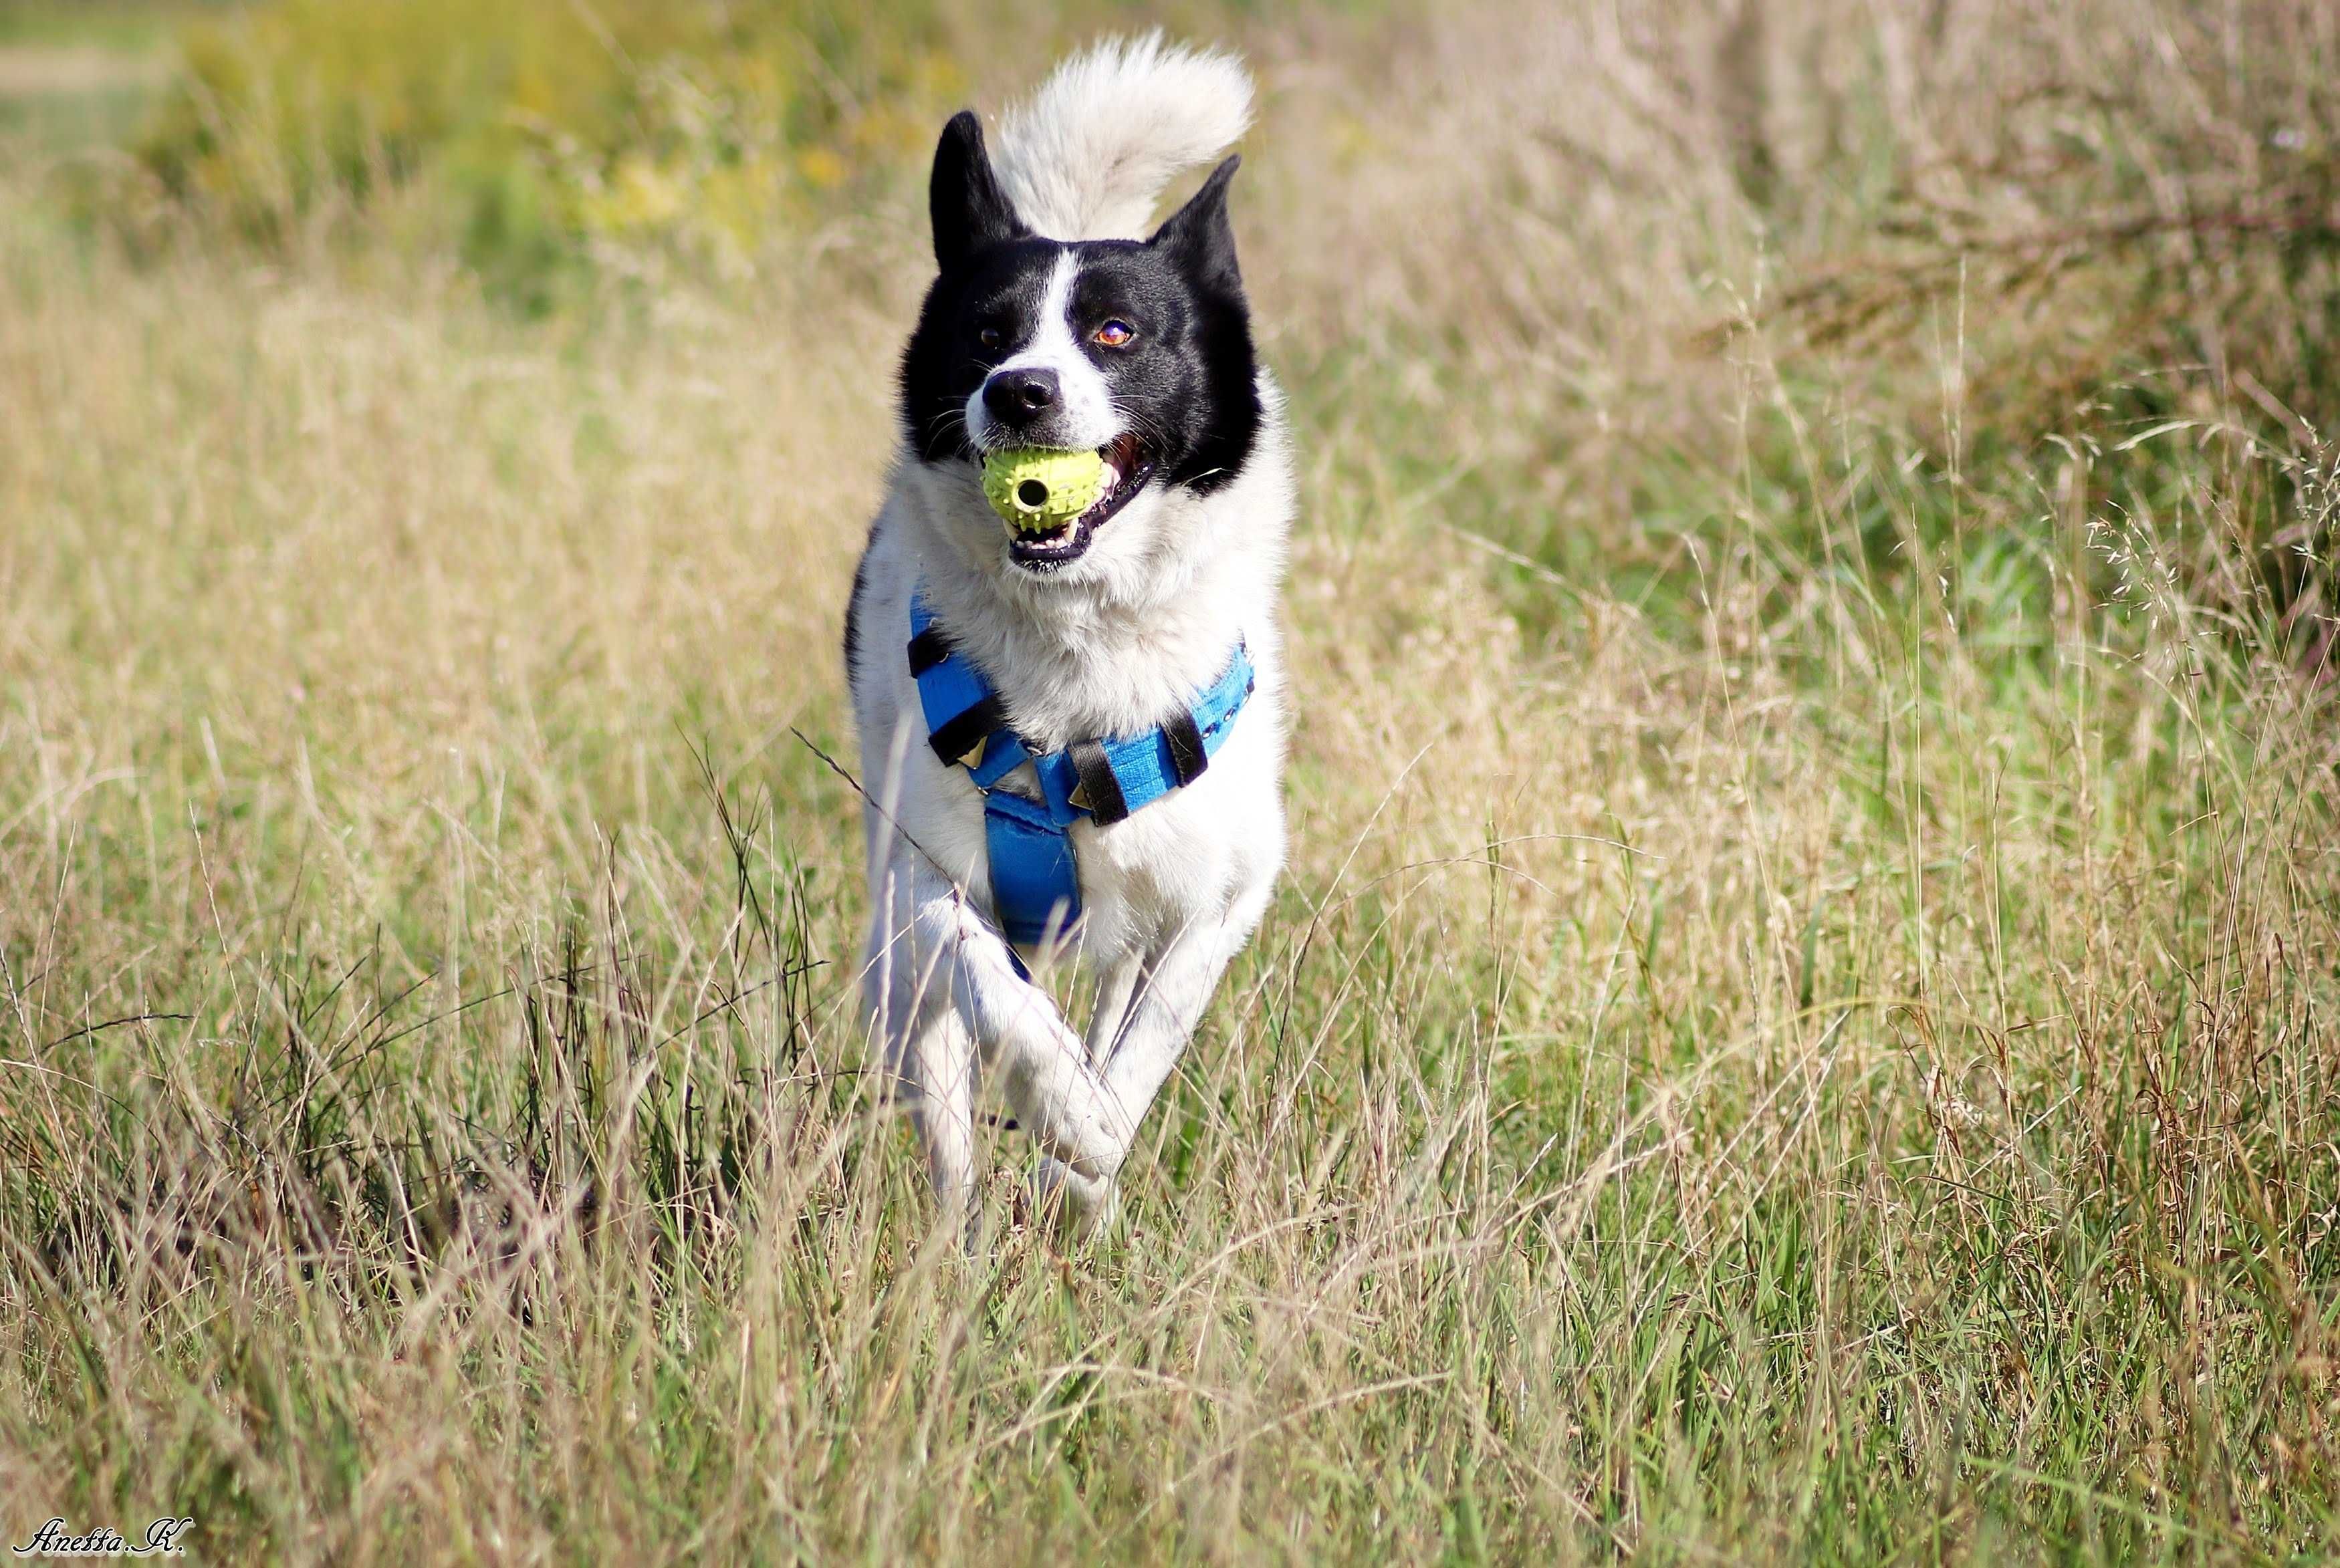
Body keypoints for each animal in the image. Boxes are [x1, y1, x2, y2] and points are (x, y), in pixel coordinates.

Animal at [847, 37, 1301, 1235]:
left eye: (1115, 333)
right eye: (986, 337)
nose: (1020, 393)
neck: (1080, 632)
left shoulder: (1228, 887)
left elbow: (1150, 1037)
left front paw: (1088, 1151)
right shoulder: (925, 876)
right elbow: (995, 987)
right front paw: (1058, 1107)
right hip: (902, 972)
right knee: (945, 1097)